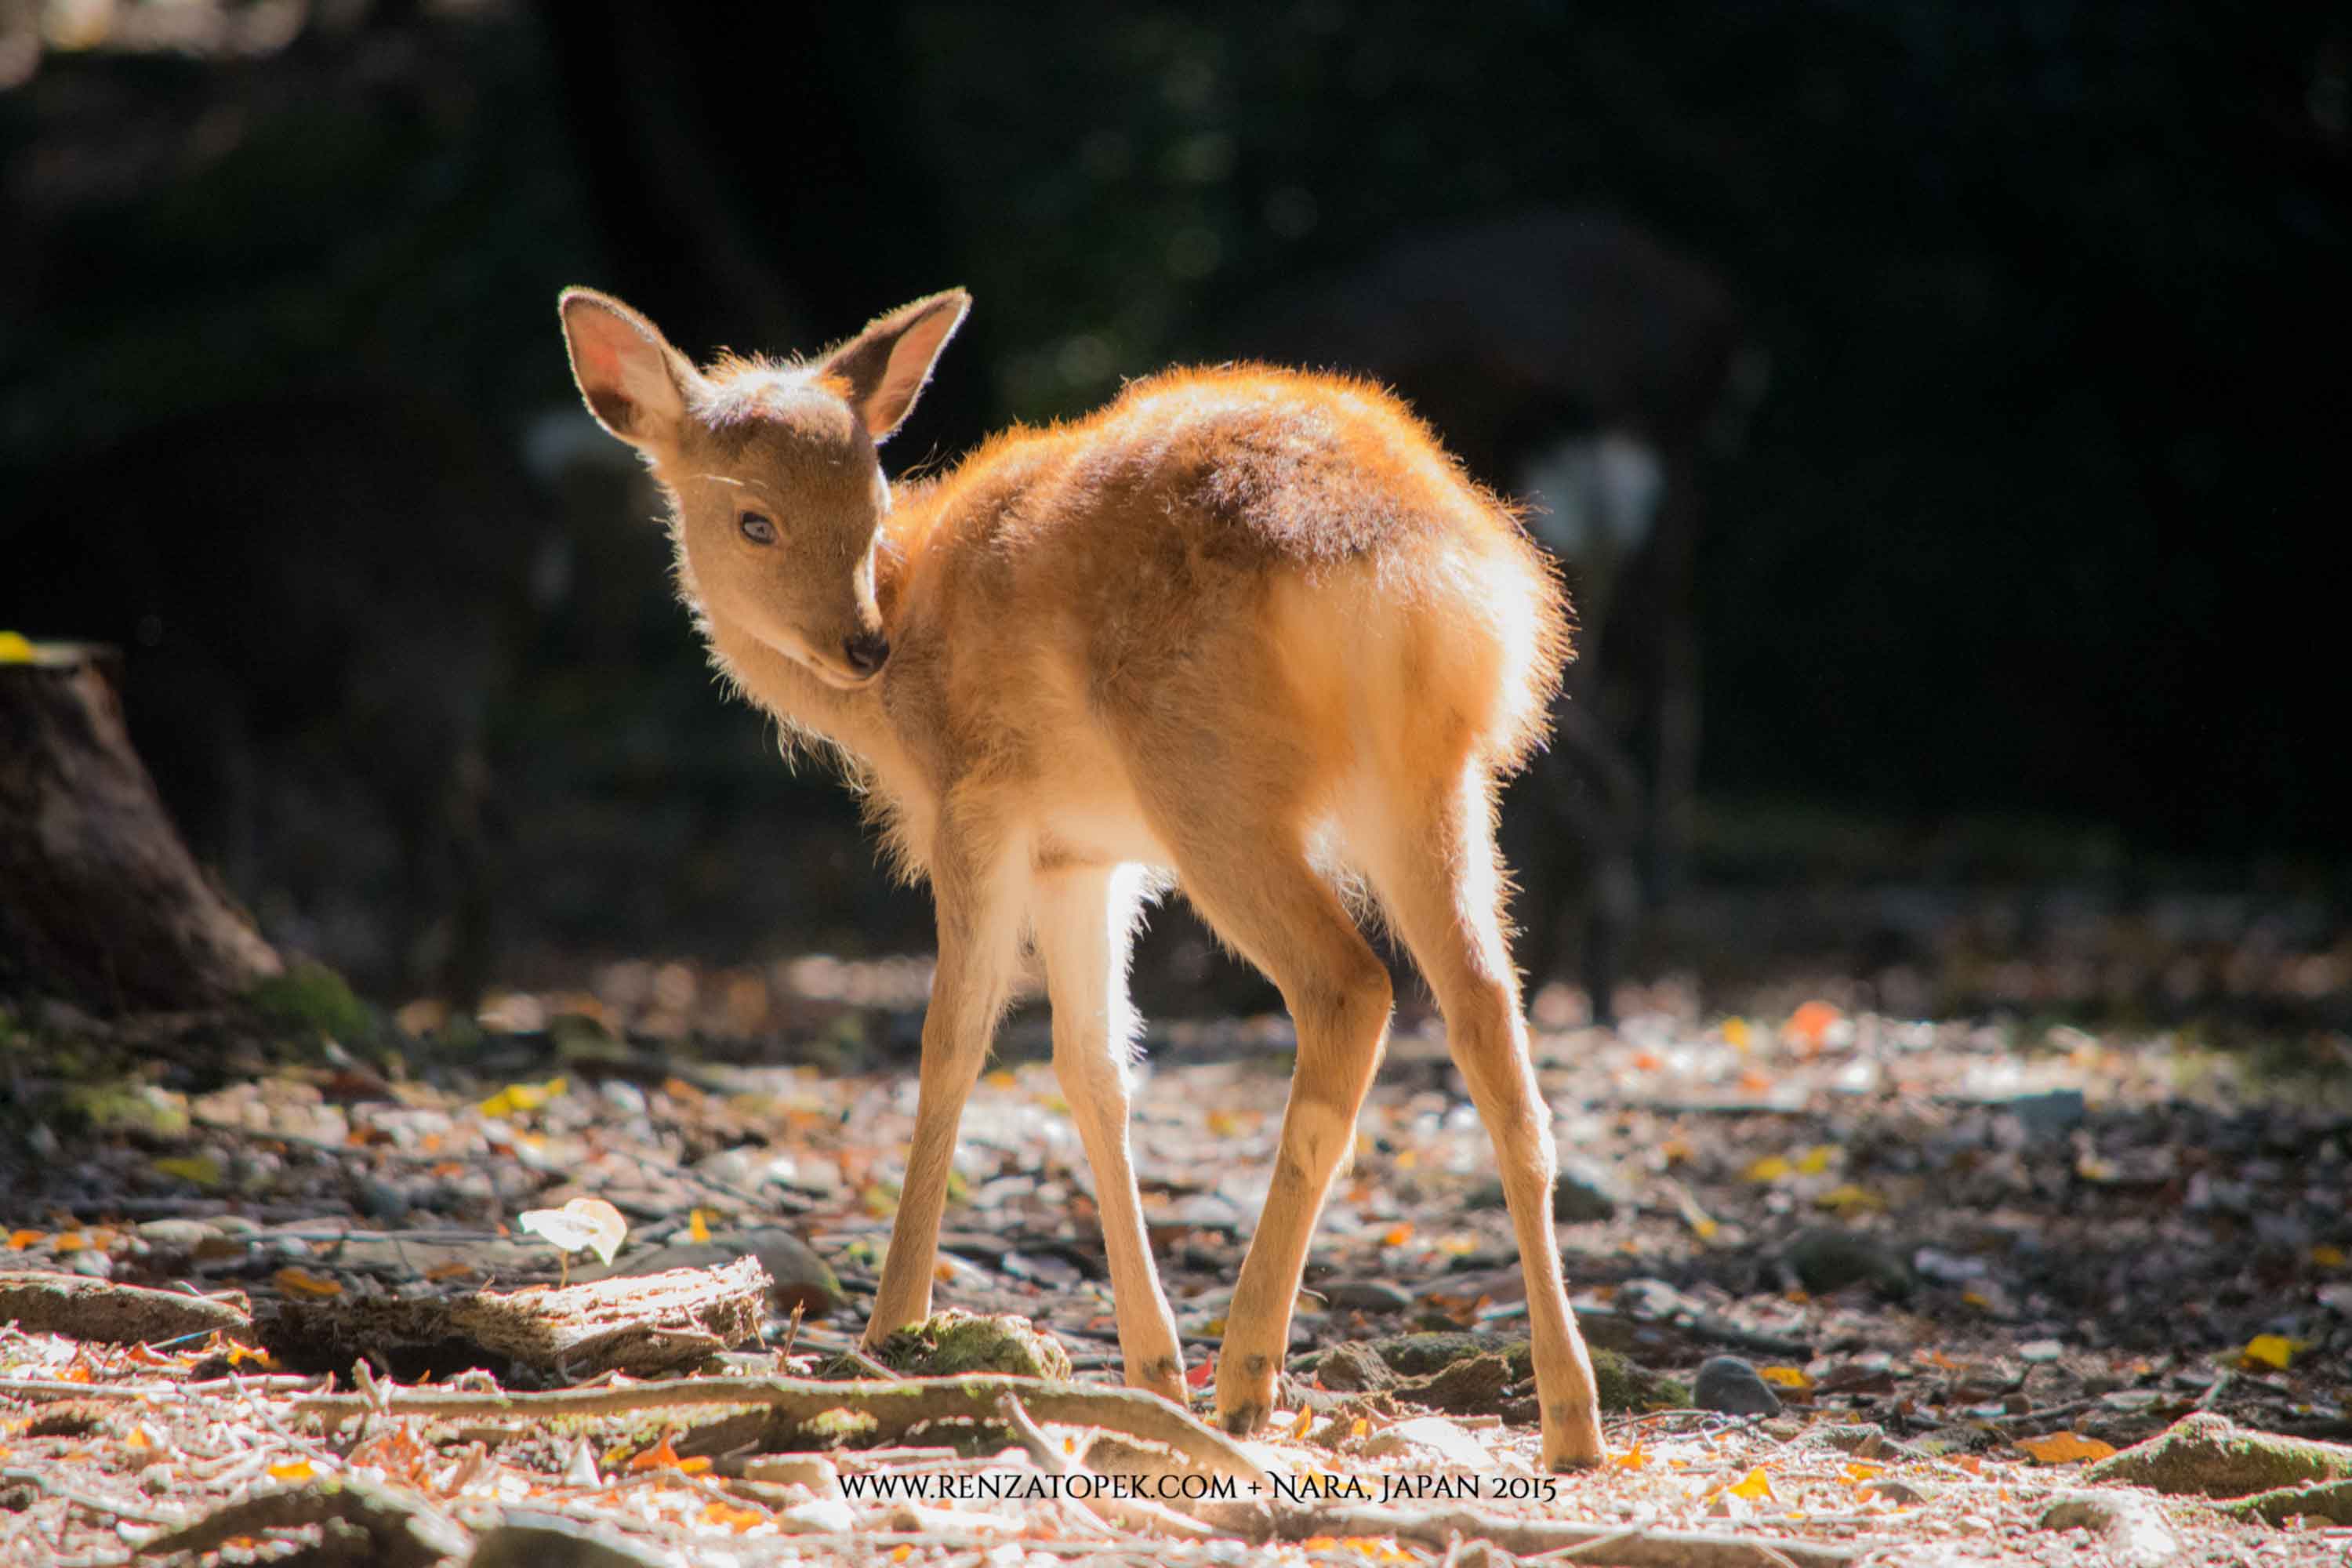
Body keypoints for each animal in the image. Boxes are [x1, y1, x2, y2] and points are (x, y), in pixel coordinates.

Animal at [556, 285, 1610, 1469]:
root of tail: (1411, 574)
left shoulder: (980, 803)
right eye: (756, 518)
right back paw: (1570, 1415)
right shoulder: (1083, 855)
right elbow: (1096, 1068)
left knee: (1350, 988)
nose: (862, 646)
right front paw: (1148, 1365)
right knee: (1491, 1020)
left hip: (1210, 784)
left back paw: (1247, 1373)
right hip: (1436, 784)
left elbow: (953, 1044)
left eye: (869, 497)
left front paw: (895, 1329)